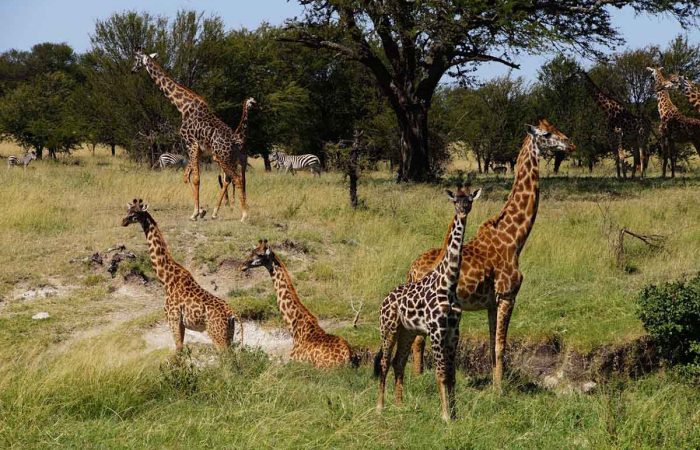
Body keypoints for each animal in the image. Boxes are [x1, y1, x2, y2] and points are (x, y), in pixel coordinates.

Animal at [122, 199, 243, 351]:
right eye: (128, 210)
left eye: (136, 213)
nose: (123, 221)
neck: (166, 279)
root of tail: (232, 313)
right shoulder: (181, 324)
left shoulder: (173, 319)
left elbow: (179, 349)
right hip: (229, 335)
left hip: (218, 336)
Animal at [131, 49, 255, 221]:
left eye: (136, 59)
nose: (132, 70)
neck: (182, 106)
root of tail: (237, 142)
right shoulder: (199, 150)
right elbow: (190, 177)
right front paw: (200, 210)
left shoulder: (191, 144)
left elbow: (195, 178)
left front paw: (195, 213)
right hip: (232, 159)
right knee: (238, 179)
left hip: (223, 157)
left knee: (235, 179)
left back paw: (243, 215)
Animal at [242, 240, 355, 368]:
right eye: (252, 251)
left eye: (260, 255)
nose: (243, 265)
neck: (295, 328)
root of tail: (347, 357)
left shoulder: (293, 362)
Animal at [376, 186, 481, 421]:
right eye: (455, 201)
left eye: (470, 200)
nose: (463, 211)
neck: (449, 283)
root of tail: (385, 299)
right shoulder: (436, 330)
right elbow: (441, 374)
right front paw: (445, 416)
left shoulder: (453, 331)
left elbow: (452, 375)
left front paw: (455, 414)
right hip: (388, 328)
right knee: (385, 362)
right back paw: (379, 407)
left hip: (407, 331)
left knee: (398, 361)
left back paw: (399, 405)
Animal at [406, 120, 575, 391]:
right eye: (548, 134)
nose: (570, 144)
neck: (514, 239)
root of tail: (411, 270)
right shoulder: (508, 295)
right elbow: (501, 346)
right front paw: (500, 390)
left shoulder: (491, 302)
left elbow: (492, 342)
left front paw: (495, 386)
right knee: (419, 342)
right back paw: (420, 380)